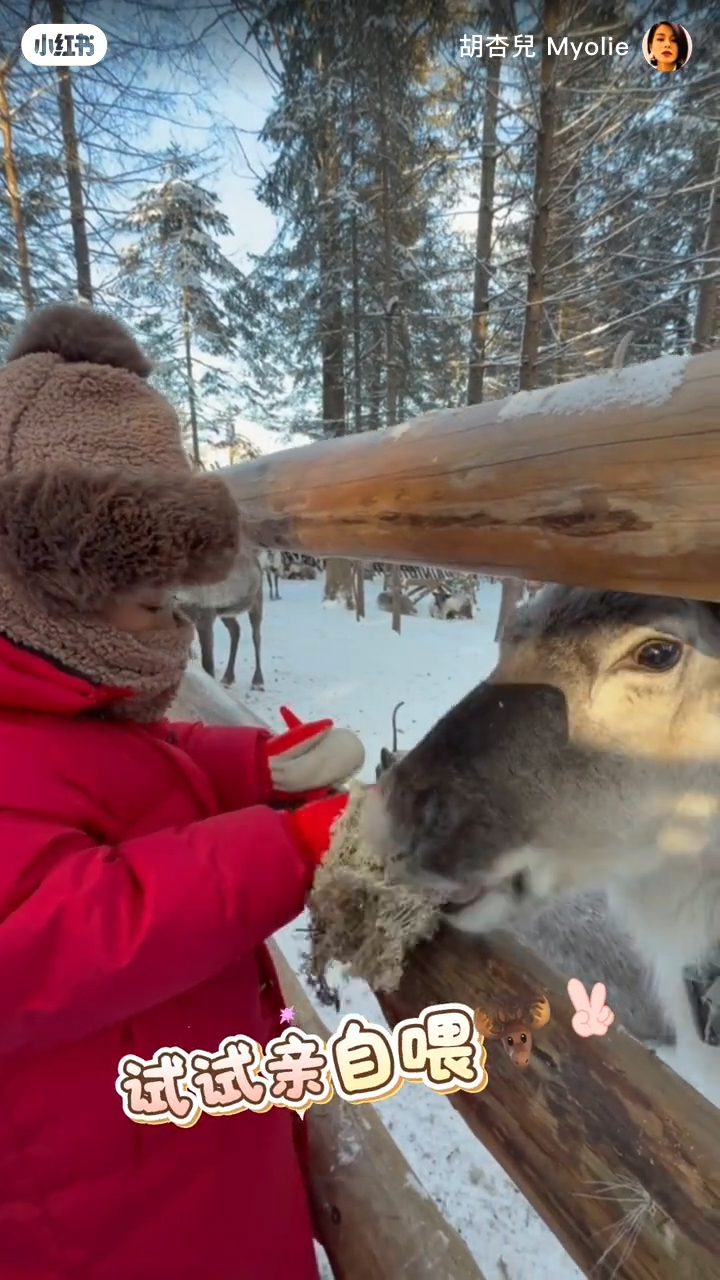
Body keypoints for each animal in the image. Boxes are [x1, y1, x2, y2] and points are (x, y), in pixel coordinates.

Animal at [175, 543, 264, 690]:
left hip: (256, 601)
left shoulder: (205, 617)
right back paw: (228, 677)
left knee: (256, 635)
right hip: (226, 613)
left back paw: (258, 680)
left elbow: (208, 664)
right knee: (235, 630)